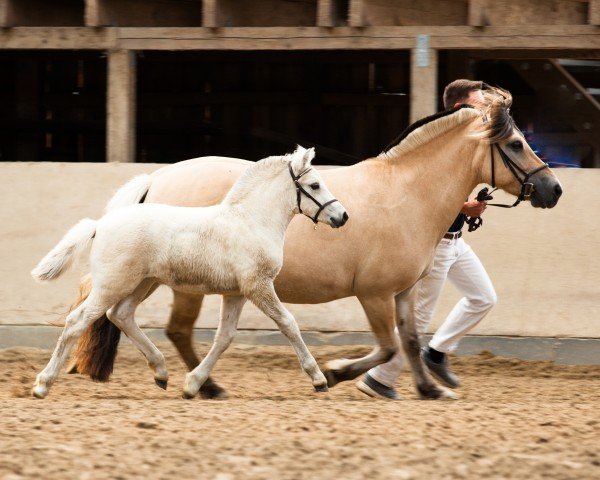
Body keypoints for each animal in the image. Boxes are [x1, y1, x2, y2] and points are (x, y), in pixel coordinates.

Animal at [30, 145, 346, 398]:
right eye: (315, 185)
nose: (342, 216)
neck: (250, 221)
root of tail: (101, 223)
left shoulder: (236, 293)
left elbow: (224, 337)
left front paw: (193, 385)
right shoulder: (258, 287)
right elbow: (289, 324)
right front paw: (319, 380)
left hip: (143, 283)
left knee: (120, 314)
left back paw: (161, 372)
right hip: (114, 284)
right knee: (77, 321)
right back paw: (42, 385)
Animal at [70, 87, 564, 402]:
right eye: (515, 143)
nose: (553, 189)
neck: (407, 193)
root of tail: (158, 176)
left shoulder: (402, 291)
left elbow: (409, 338)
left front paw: (428, 388)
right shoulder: (374, 293)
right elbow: (387, 346)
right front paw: (335, 372)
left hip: (154, 277)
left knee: (125, 315)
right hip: (181, 284)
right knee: (173, 329)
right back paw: (204, 385)